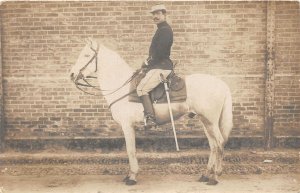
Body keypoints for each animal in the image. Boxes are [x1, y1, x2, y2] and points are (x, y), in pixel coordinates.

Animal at [70, 38, 234, 185]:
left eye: (86, 55)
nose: (72, 74)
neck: (121, 85)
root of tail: (222, 84)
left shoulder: (127, 125)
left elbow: (130, 150)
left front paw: (132, 177)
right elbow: (132, 150)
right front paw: (129, 175)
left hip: (210, 121)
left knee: (219, 143)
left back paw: (215, 177)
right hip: (205, 121)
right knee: (213, 146)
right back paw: (205, 175)